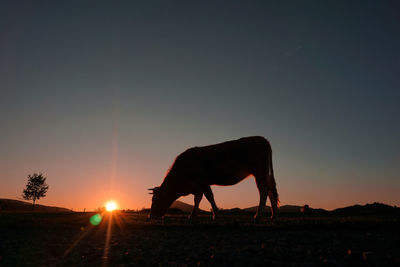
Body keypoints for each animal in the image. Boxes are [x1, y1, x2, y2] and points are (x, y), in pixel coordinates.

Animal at [148, 136, 280, 222]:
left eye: (156, 199)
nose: (150, 216)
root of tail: (263, 139)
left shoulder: (203, 181)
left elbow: (209, 197)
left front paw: (216, 215)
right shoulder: (198, 186)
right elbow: (197, 200)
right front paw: (192, 215)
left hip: (259, 172)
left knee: (263, 191)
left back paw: (258, 215)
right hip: (264, 174)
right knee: (270, 191)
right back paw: (273, 215)